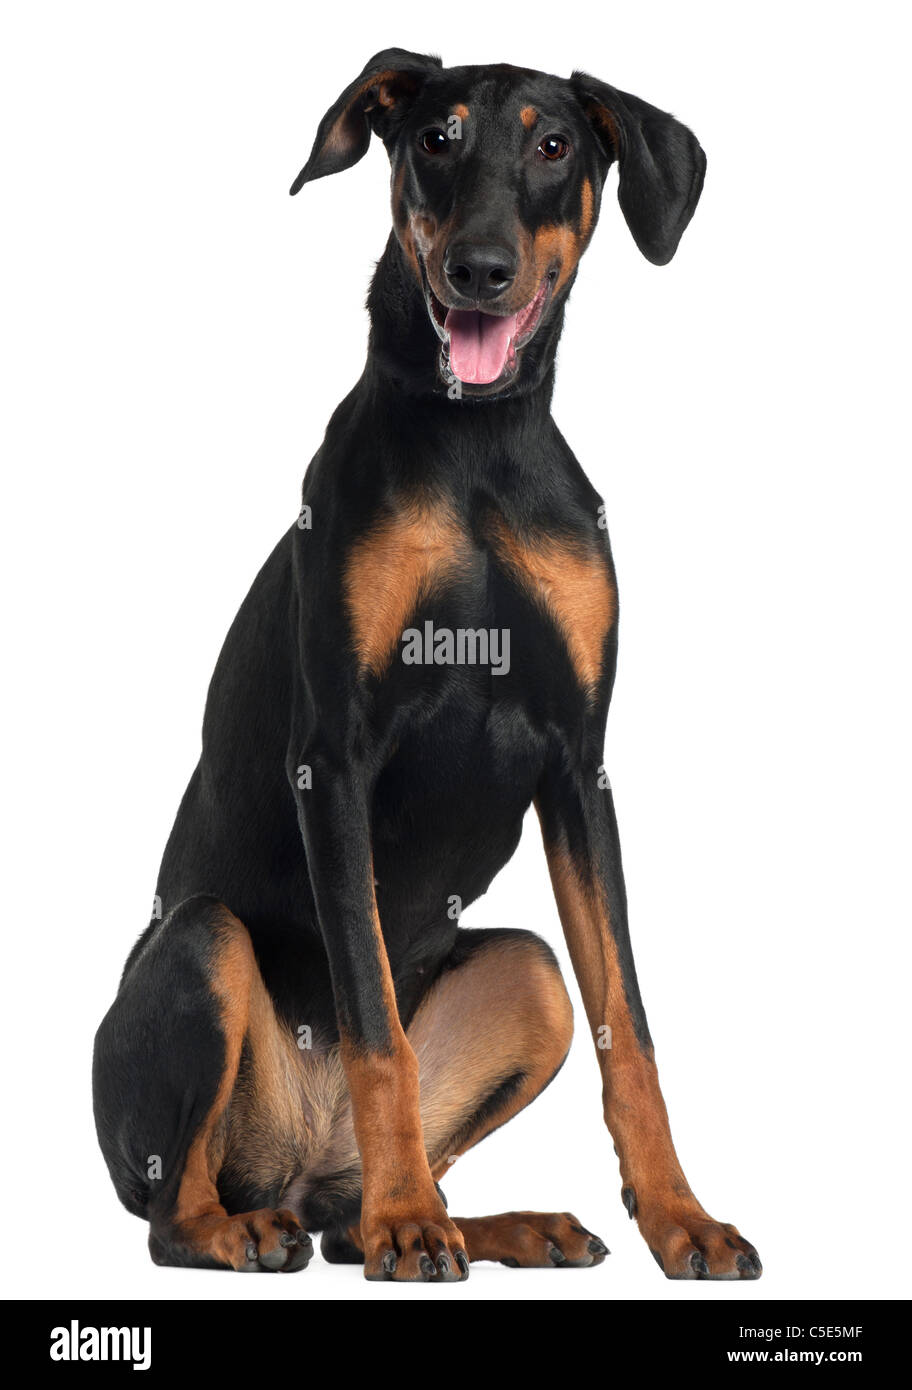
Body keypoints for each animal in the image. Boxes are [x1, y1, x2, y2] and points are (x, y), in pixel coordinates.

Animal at [94, 46, 761, 1278]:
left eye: (554, 145)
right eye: (435, 139)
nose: (480, 269)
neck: (477, 446)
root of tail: (300, 1163)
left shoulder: (579, 767)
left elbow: (631, 1029)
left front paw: (680, 1216)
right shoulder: (335, 762)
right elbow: (373, 1023)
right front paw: (412, 1219)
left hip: (530, 980)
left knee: (350, 1208)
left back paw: (499, 1223)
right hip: (200, 947)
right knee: (178, 1213)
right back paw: (293, 1224)